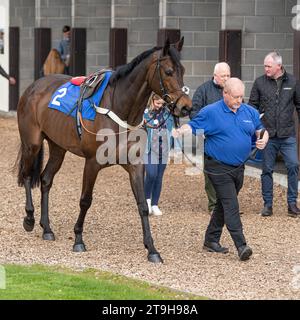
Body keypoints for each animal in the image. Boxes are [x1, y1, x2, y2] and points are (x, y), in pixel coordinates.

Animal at [16, 38, 191, 262]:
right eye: (168, 71)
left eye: (182, 70)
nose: (186, 107)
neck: (120, 110)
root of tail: (34, 86)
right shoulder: (92, 163)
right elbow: (85, 200)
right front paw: (78, 239)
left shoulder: (135, 165)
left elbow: (142, 205)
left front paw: (152, 249)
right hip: (32, 143)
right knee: (28, 176)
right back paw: (29, 218)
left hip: (58, 147)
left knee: (46, 180)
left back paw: (46, 228)